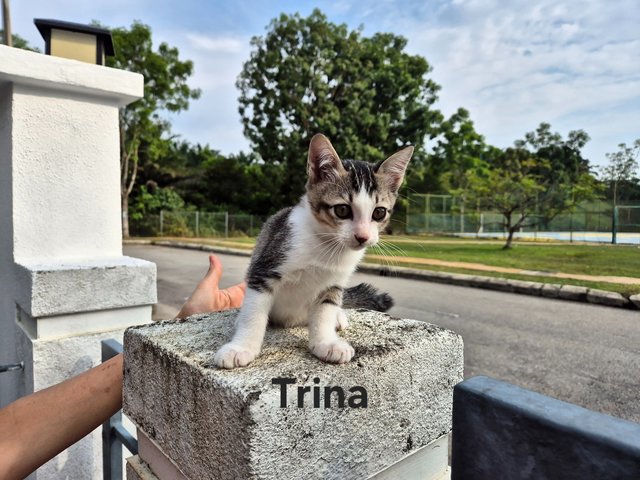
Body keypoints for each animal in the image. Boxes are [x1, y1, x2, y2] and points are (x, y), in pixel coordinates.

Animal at [214, 133, 416, 370]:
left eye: (379, 213)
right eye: (342, 210)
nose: (363, 236)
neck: (327, 246)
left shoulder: (334, 283)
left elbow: (324, 312)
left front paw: (326, 343)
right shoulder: (265, 267)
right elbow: (254, 312)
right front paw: (242, 348)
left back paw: (338, 317)